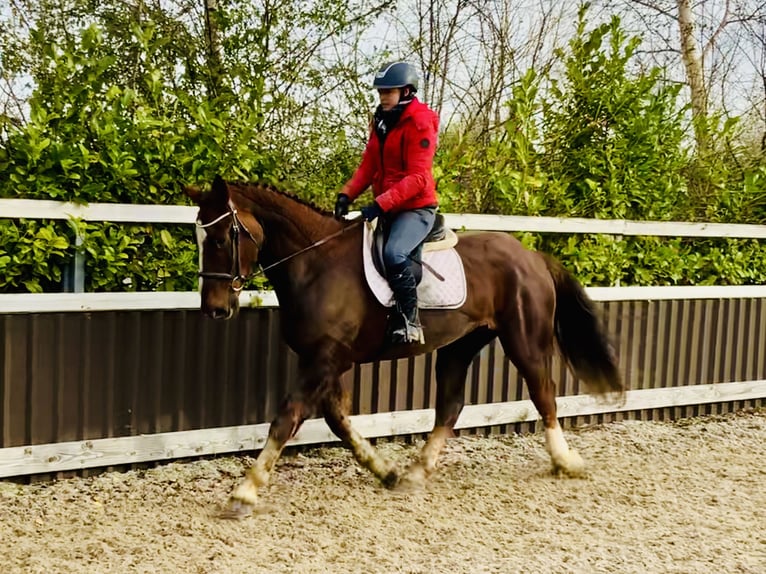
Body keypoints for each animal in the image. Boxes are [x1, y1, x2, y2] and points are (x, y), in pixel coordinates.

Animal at [186, 177, 624, 520]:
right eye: (200, 238)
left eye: (223, 238)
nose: (214, 309)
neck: (315, 264)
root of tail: (531, 255)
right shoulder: (325, 360)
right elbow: (337, 420)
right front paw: (386, 472)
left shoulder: (324, 359)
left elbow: (286, 418)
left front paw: (244, 493)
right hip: (460, 345)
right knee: (450, 406)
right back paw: (416, 472)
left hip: (525, 340)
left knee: (543, 394)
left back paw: (565, 461)